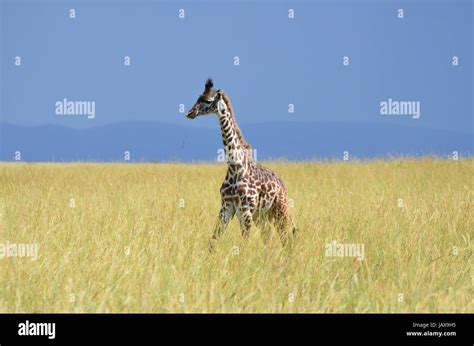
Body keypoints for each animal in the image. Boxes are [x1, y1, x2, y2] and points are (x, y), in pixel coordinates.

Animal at [186, 79, 294, 250]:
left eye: (207, 100)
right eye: (198, 97)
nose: (190, 113)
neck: (235, 166)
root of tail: (281, 183)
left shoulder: (245, 211)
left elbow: (244, 244)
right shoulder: (226, 208)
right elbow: (213, 241)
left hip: (279, 209)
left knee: (286, 237)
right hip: (261, 215)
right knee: (268, 238)